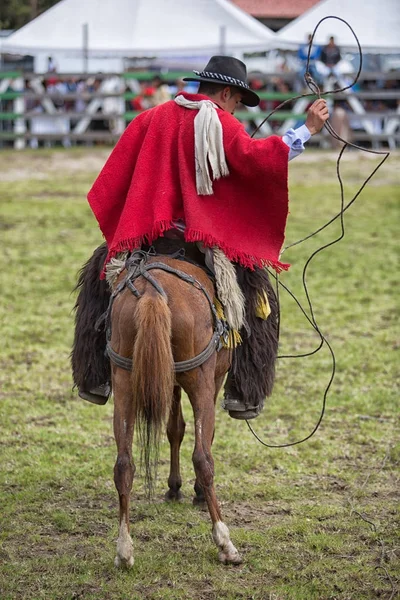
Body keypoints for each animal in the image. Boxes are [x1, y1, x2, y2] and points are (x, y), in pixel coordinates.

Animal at [108, 250, 242, 568]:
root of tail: (151, 292)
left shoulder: (166, 381)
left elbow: (174, 428)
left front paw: (174, 487)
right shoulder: (213, 380)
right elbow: (201, 436)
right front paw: (190, 492)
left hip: (125, 382)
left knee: (124, 464)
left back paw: (124, 550)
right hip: (200, 380)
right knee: (203, 458)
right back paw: (225, 543)